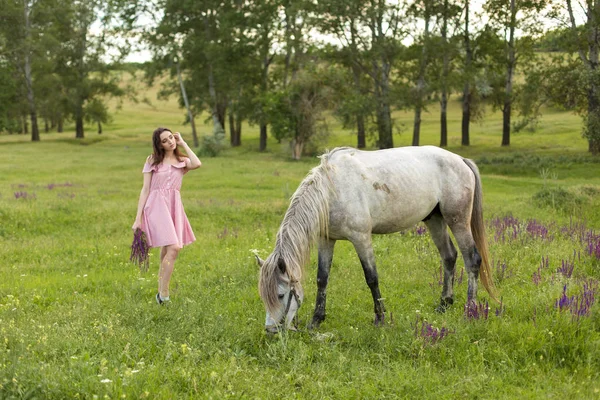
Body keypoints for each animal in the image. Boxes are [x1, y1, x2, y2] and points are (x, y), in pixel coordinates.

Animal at [258, 146, 496, 332]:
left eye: (281, 295)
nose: (270, 330)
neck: (332, 190)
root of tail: (461, 160)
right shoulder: (326, 240)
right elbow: (322, 279)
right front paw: (316, 321)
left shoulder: (361, 238)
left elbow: (371, 277)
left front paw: (380, 318)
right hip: (434, 219)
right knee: (449, 256)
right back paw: (444, 304)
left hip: (458, 221)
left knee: (472, 259)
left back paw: (470, 309)